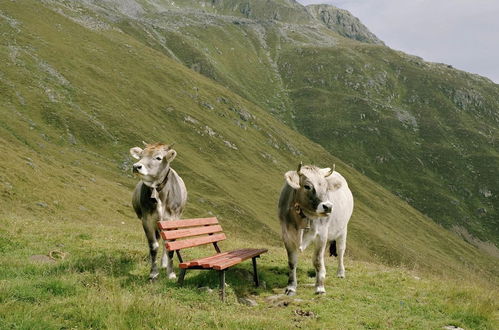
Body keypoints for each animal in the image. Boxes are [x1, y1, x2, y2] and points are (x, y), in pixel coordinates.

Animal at [280, 164, 354, 296]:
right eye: (307, 186)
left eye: (326, 187)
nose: (328, 207)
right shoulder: (286, 235)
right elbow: (292, 262)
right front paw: (291, 287)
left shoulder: (322, 236)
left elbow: (317, 261)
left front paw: (320, 287)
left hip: (343, 229)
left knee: (340, 251)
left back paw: (340, 273)